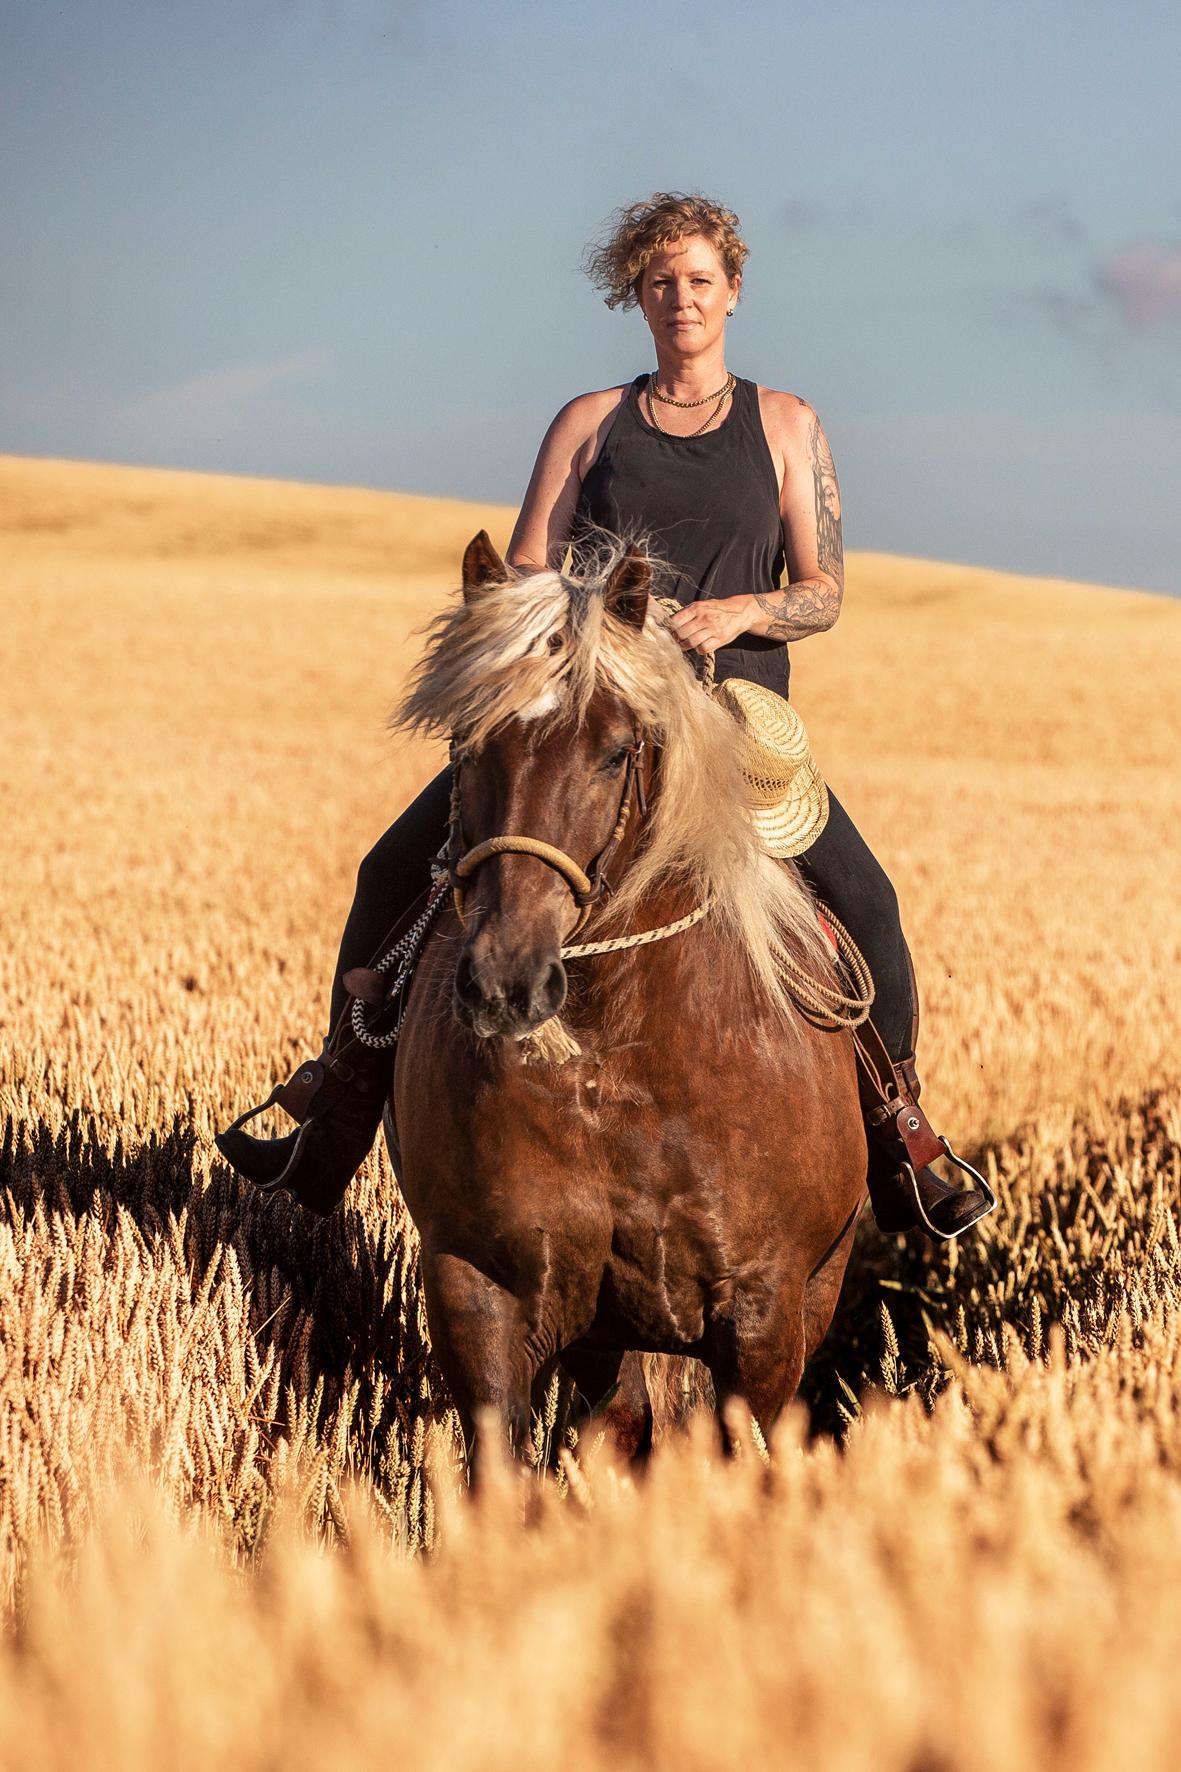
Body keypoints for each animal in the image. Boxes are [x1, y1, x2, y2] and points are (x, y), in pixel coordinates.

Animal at [388, 531, 865, 1460]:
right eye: (466, 745)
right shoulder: (477, 1293)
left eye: (614, 750)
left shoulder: (761, 1321)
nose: (506, 981)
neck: (621, 1055)